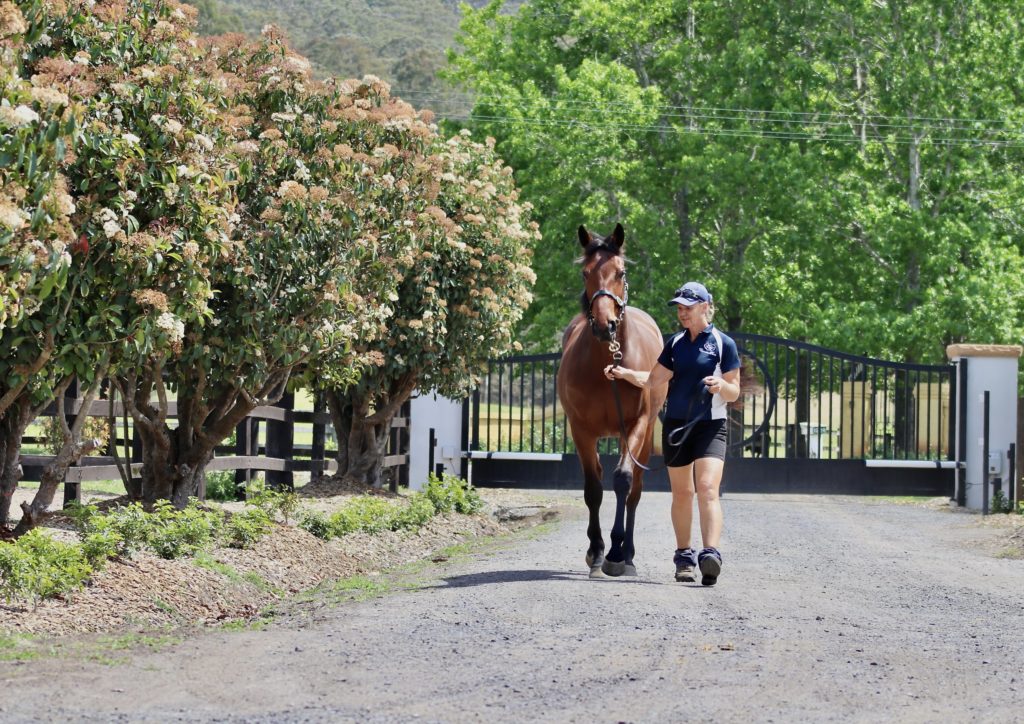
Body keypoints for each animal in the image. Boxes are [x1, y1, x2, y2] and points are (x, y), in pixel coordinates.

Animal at [556, 223, 668, 578]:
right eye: (585, 273)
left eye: (620, 272)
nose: (605, 325)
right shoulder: (580, 430)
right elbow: (593, 488)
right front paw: (596, 551)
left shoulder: (636, 424)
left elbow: (623, 481)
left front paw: (616, 553)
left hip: (640, 437)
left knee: (634, 491)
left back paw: (628, 554)